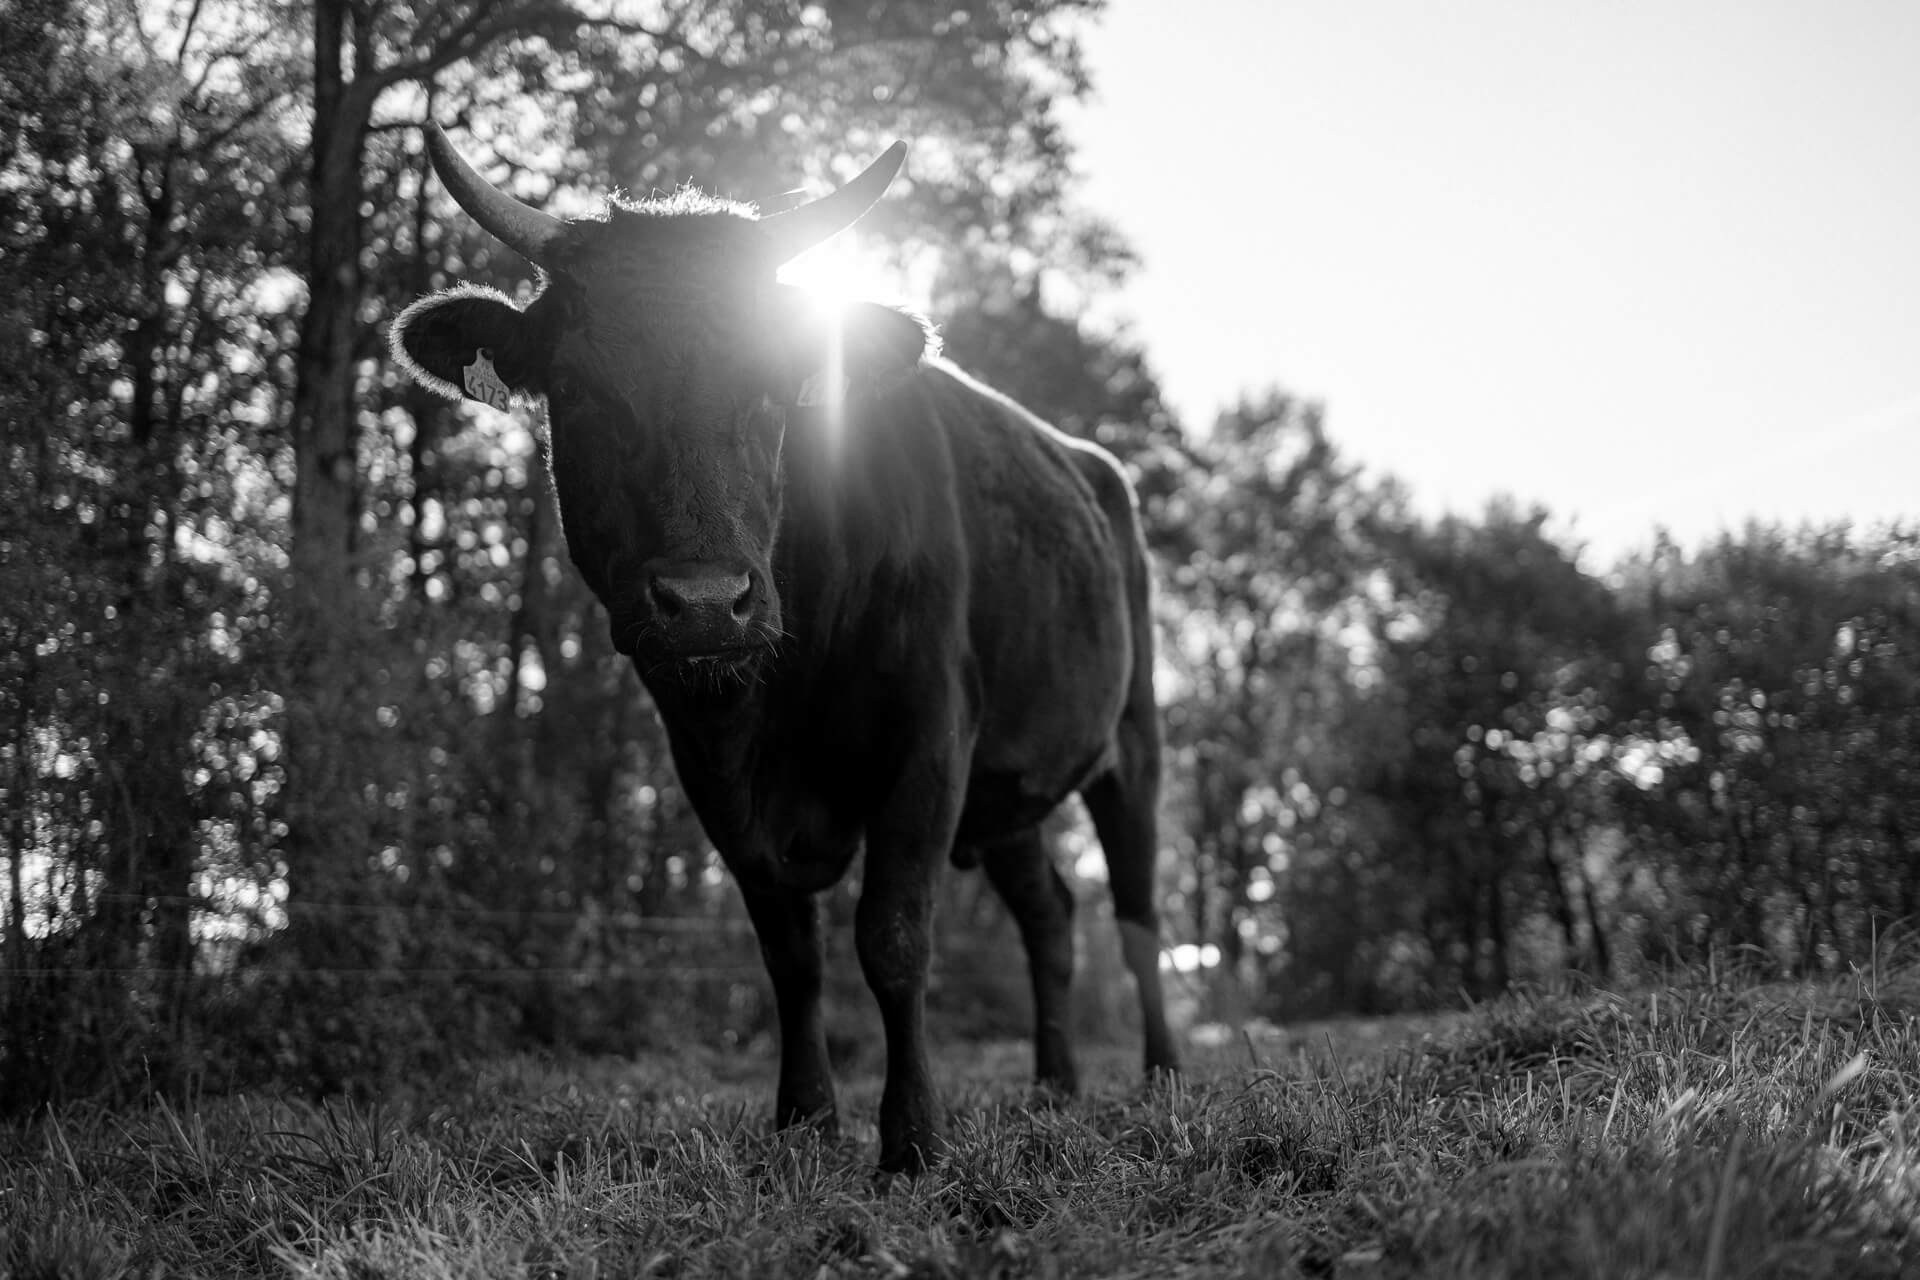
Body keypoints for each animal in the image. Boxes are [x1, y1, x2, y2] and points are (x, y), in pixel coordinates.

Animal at [390, 125, 1179, 1172]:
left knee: (1136, 916)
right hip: (1008, 790)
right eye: (580, 390)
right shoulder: (707, 763)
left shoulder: (930, 736)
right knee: (1051, 915)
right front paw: (805, 1120)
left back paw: (1162, 1076)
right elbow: (789, 951)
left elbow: (891, 935)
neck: (775, 699)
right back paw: (1054, 1086)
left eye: (773, 390)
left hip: (1132, 742)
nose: (704, 604)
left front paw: (912, 1140)